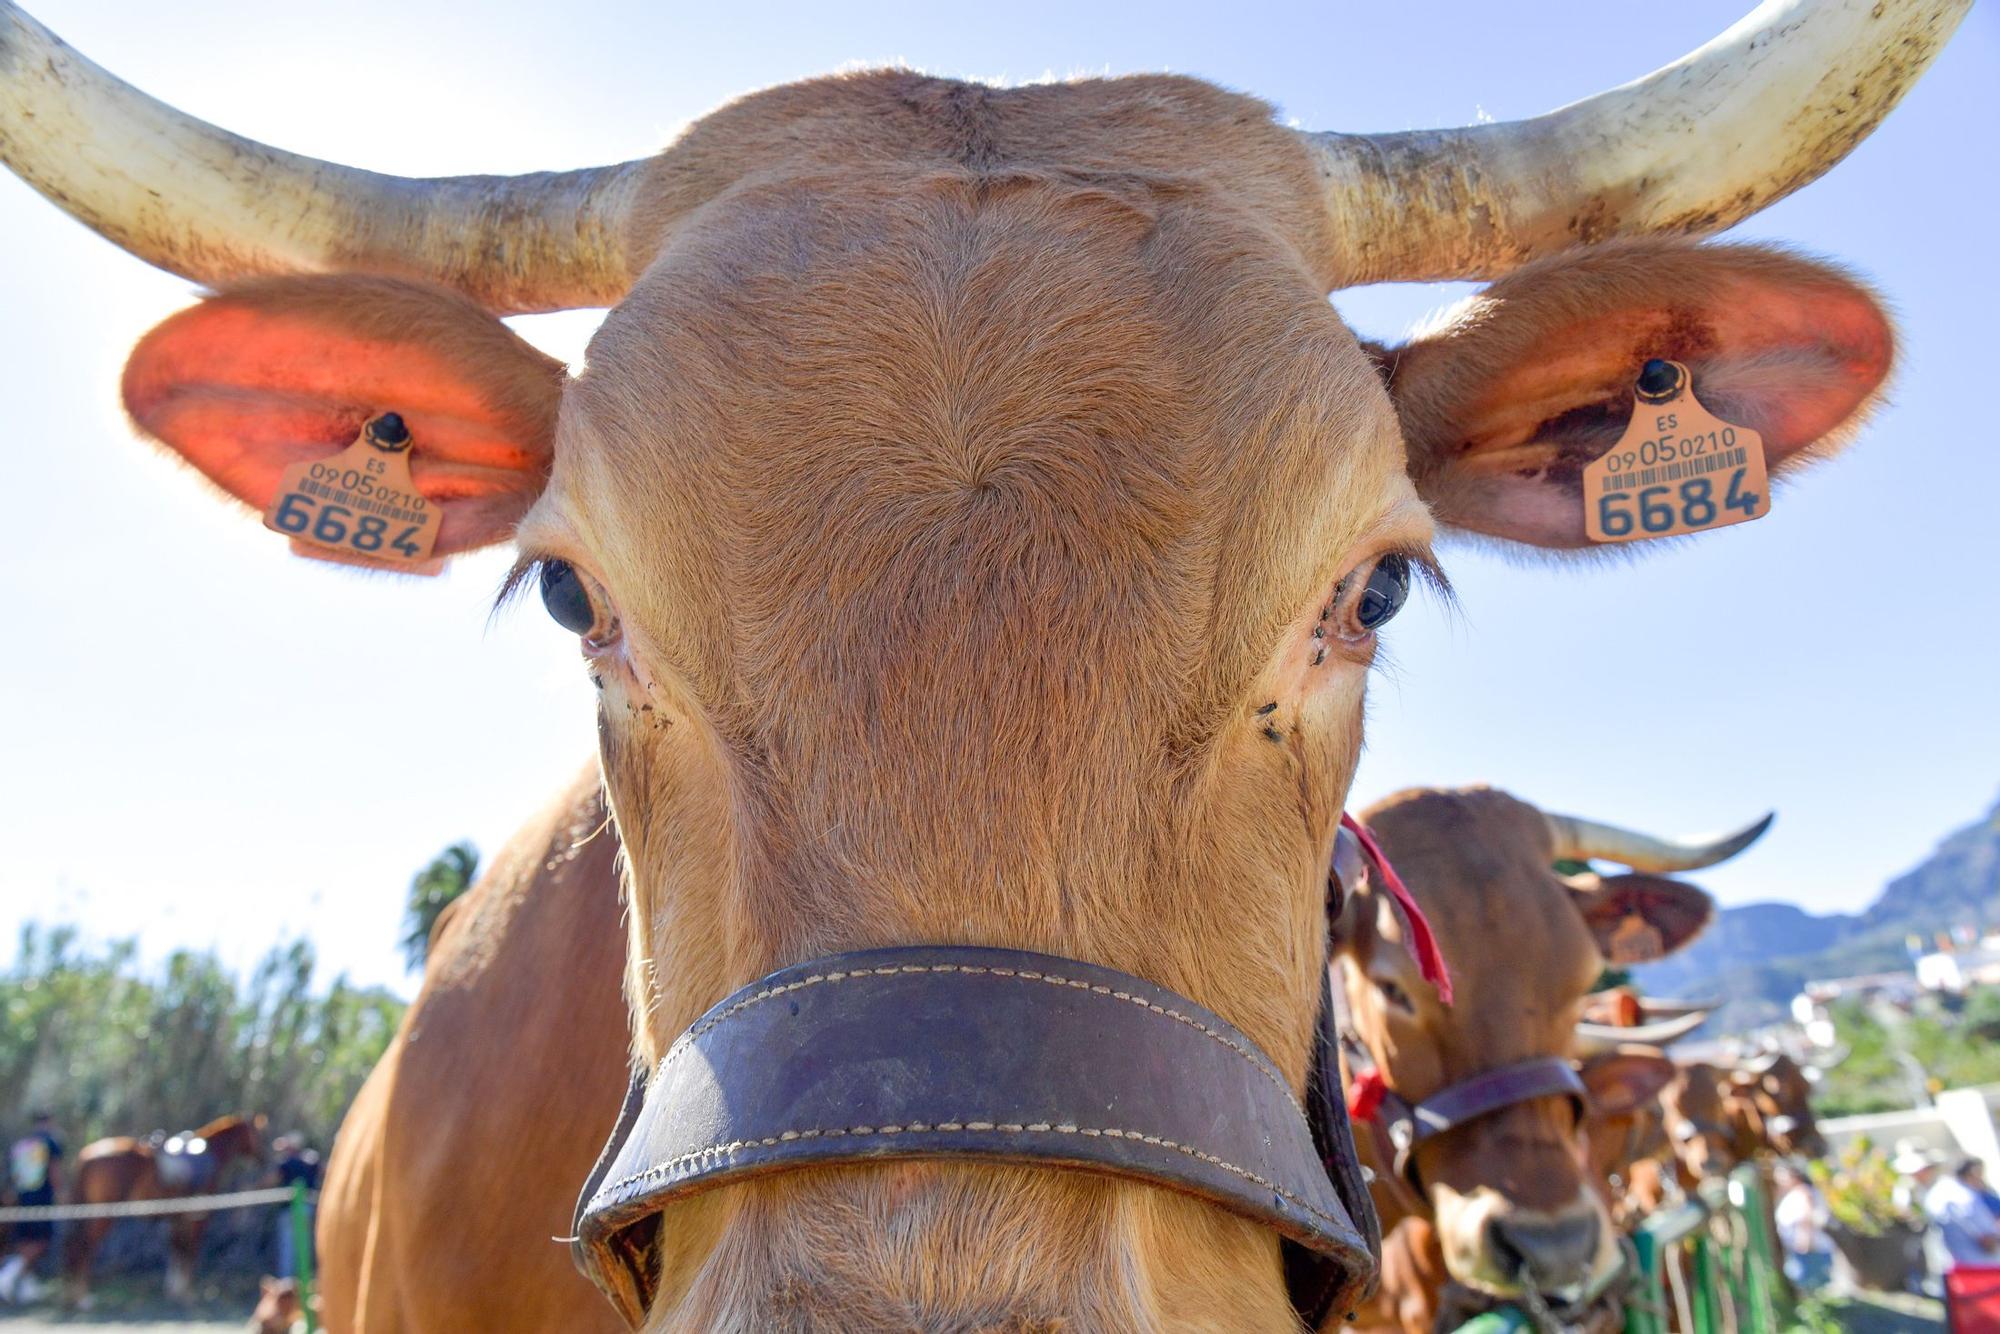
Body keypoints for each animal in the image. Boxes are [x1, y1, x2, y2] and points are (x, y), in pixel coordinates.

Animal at [64, 1112, 266, 1312]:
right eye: (257, 1133)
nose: (264, 1157)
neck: (211, 1154)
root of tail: (87, 1154)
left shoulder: (178, 1218)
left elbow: (176, 1248)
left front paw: (173, 1290)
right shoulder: (198, 1217)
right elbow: (190, 1251)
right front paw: (186, 1293)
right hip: (103, 1213)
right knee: (85, 1246)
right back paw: (82, 1298)